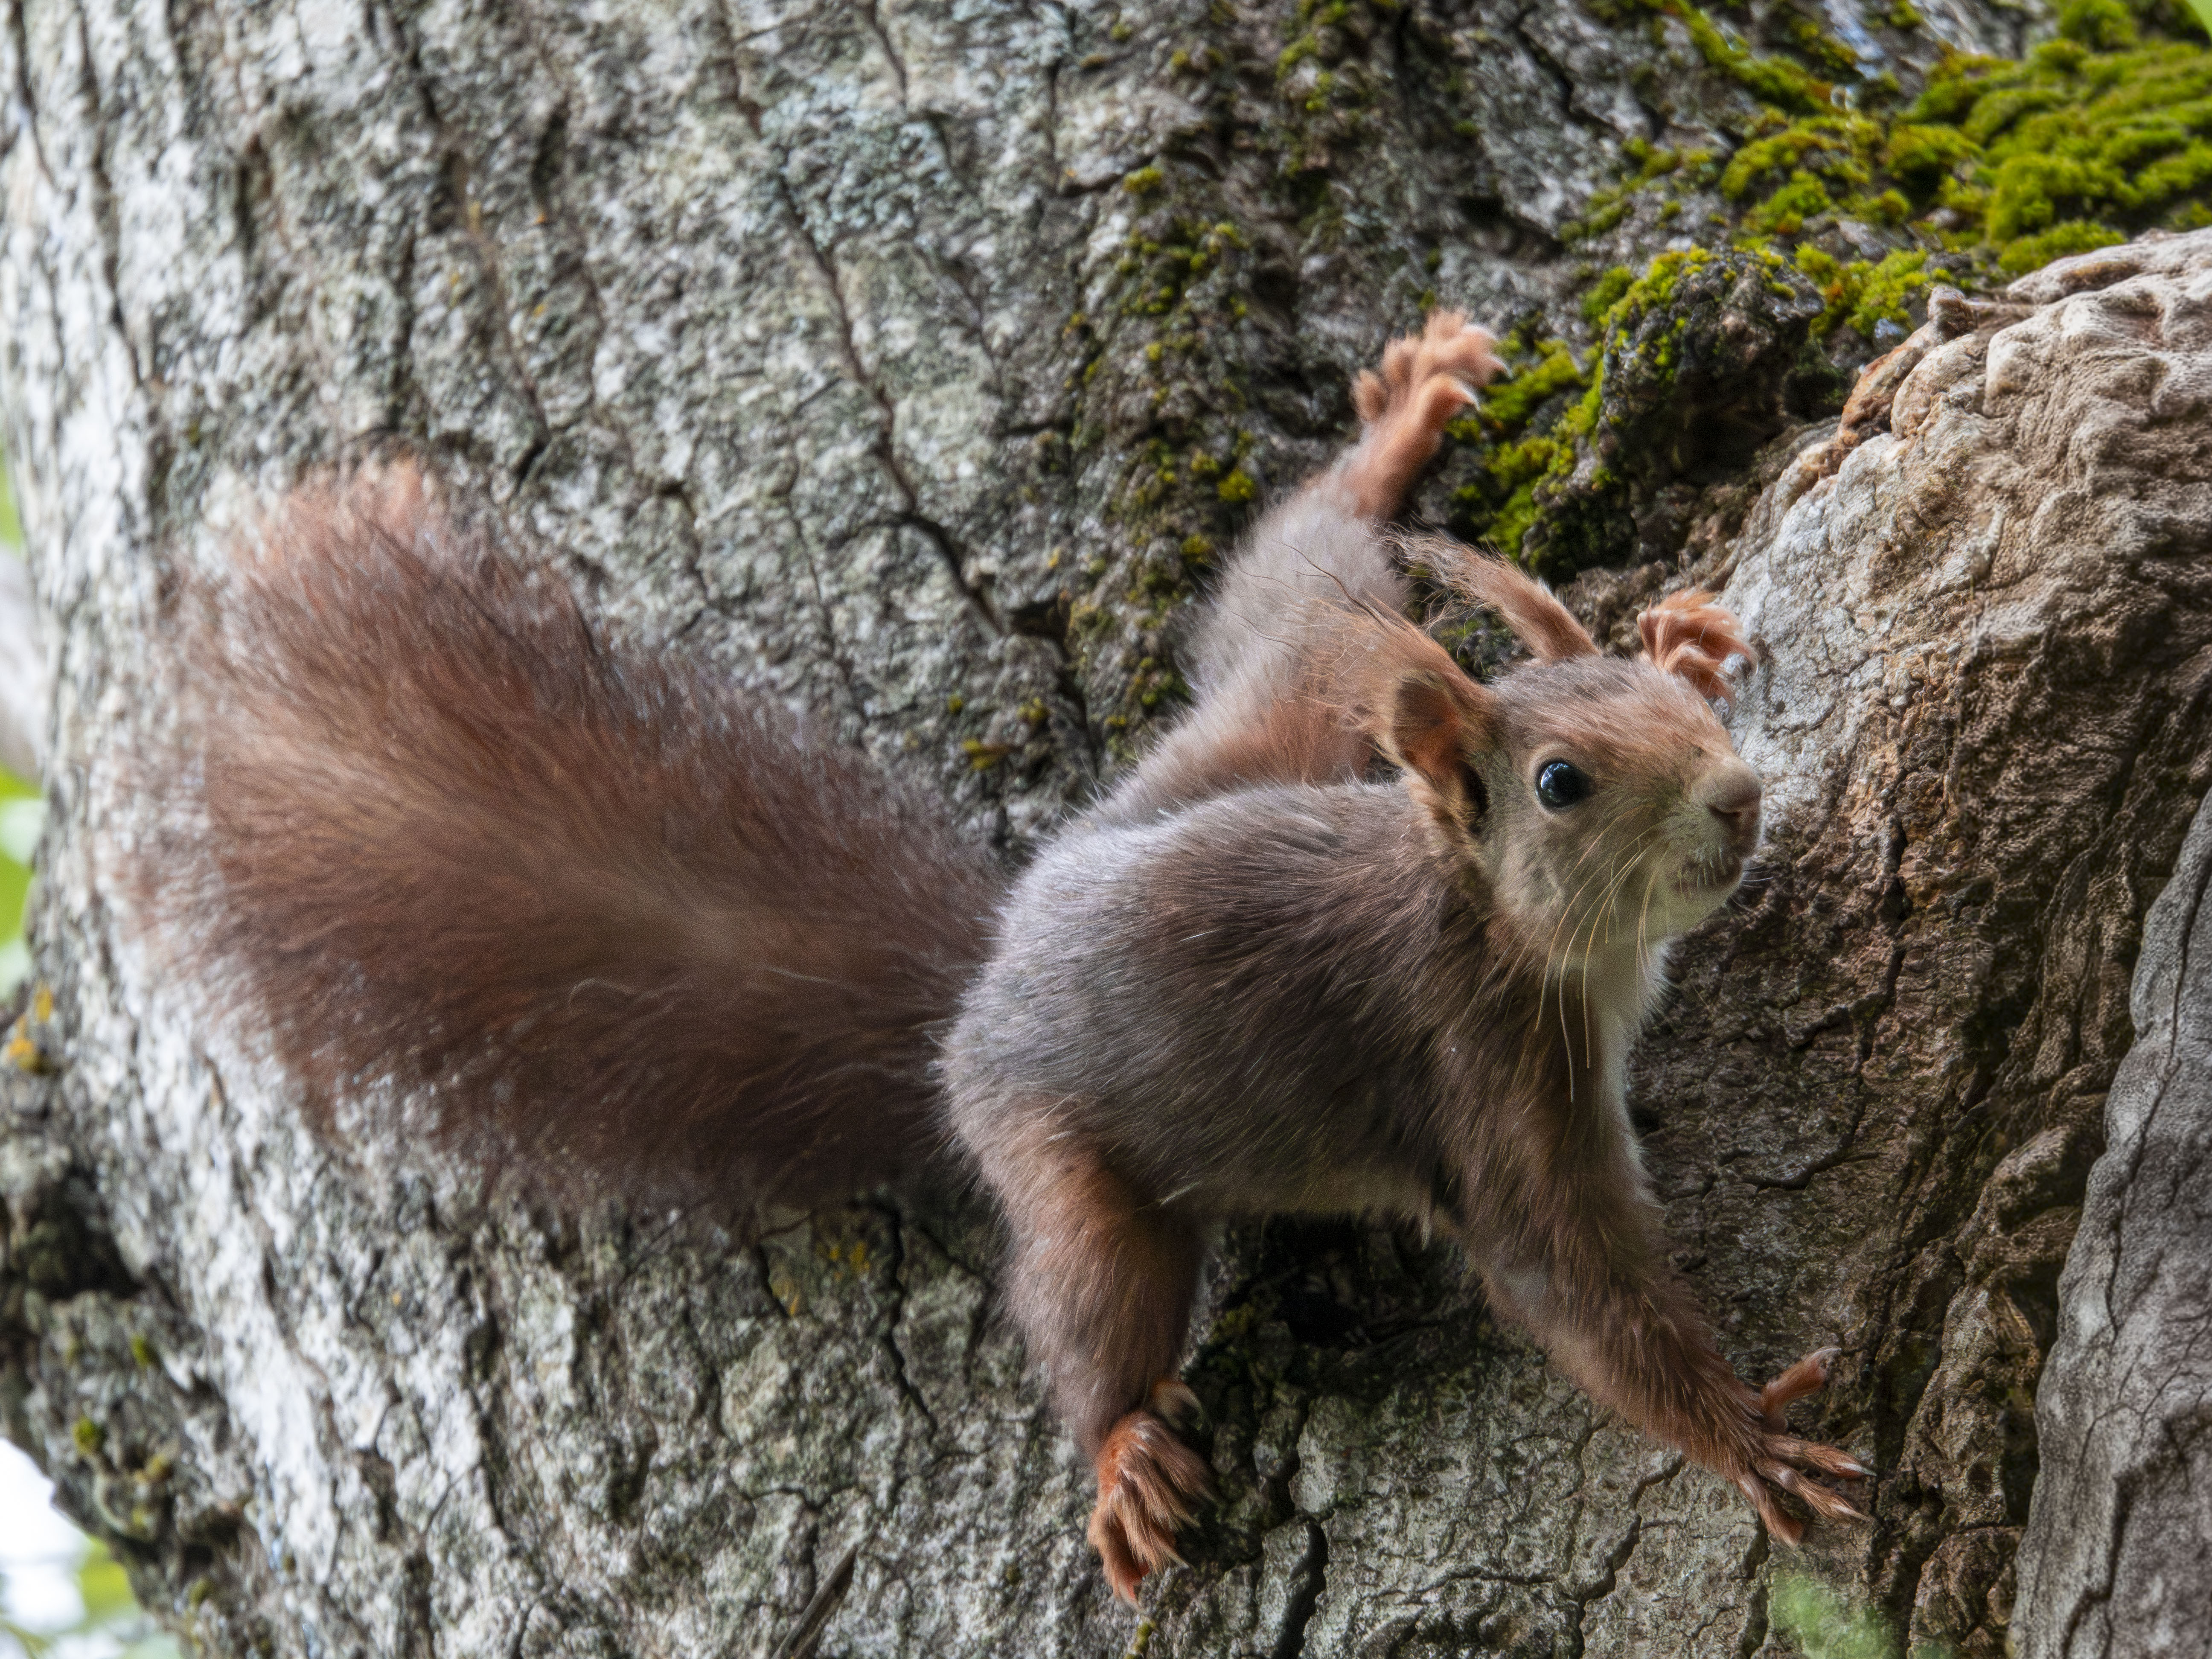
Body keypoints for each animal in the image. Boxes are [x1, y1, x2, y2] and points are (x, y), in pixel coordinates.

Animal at [146, 312, 1868, 1605]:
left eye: (1633, 699)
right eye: (1560, 783)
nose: (1735, 795)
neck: (1499, 919)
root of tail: (981, 987)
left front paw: (1685, 639)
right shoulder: (1484, 1078)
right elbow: (1571, 1284)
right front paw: (1744, 1438)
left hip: (1273, 728)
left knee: (1299, 595)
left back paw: (1395, 432)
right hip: (1077, 1173)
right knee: (1092, 1299)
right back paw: (1120, 1451)